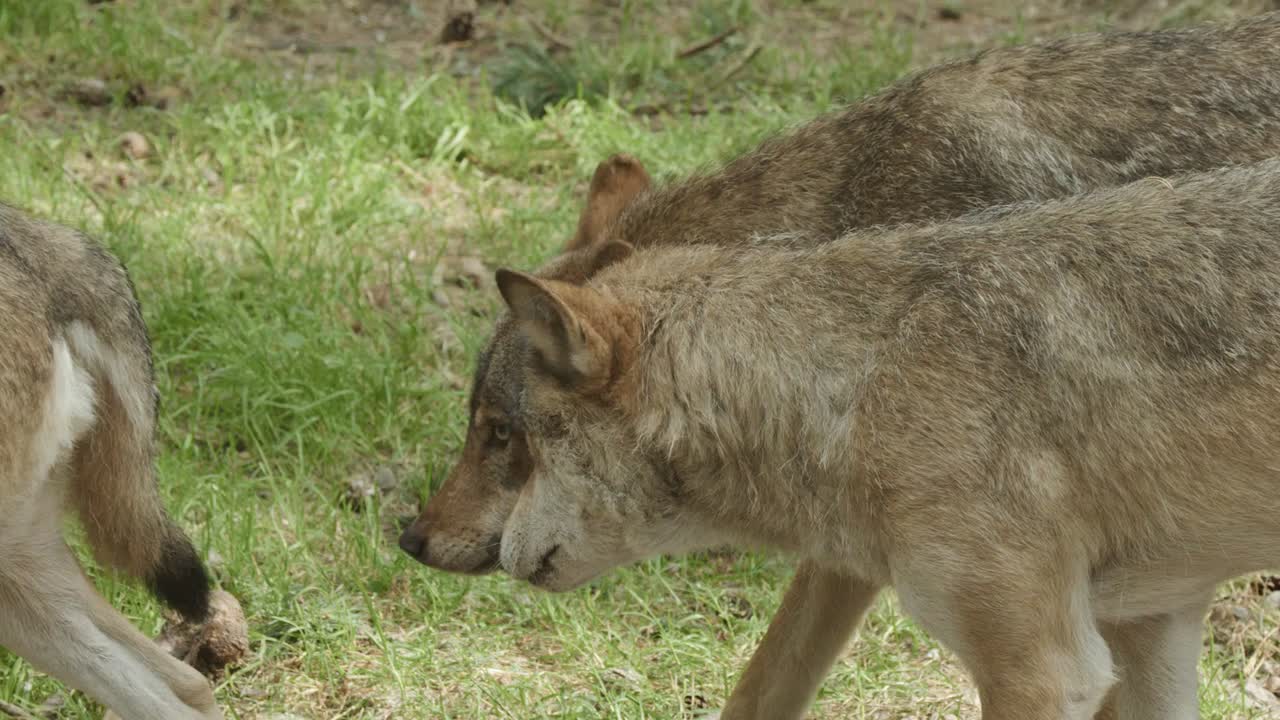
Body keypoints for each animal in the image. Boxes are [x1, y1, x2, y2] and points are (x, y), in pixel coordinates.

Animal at [399, 10, 1280, 718]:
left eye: (498, 433)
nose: (411, 537)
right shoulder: (1134, 615)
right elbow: (763, 686)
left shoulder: (1023, 639)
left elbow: (768, 680)